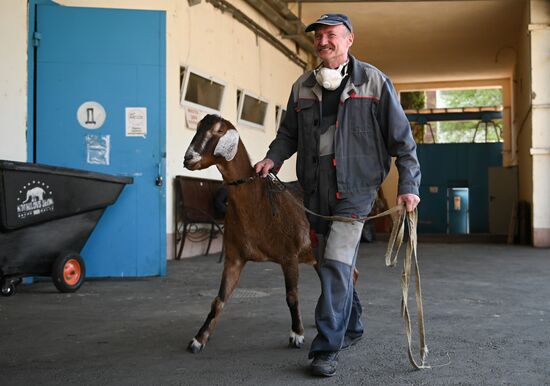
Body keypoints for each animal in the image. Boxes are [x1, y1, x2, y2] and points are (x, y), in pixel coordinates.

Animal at [183, 114, 316, 352]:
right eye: (197, 127)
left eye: (218, 131)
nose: (188, 158)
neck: (259, 200)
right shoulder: (234, 258)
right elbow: (219, 299)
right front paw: (199, 338)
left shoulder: (289, 256)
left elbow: (292, 296)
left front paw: (297, 334)